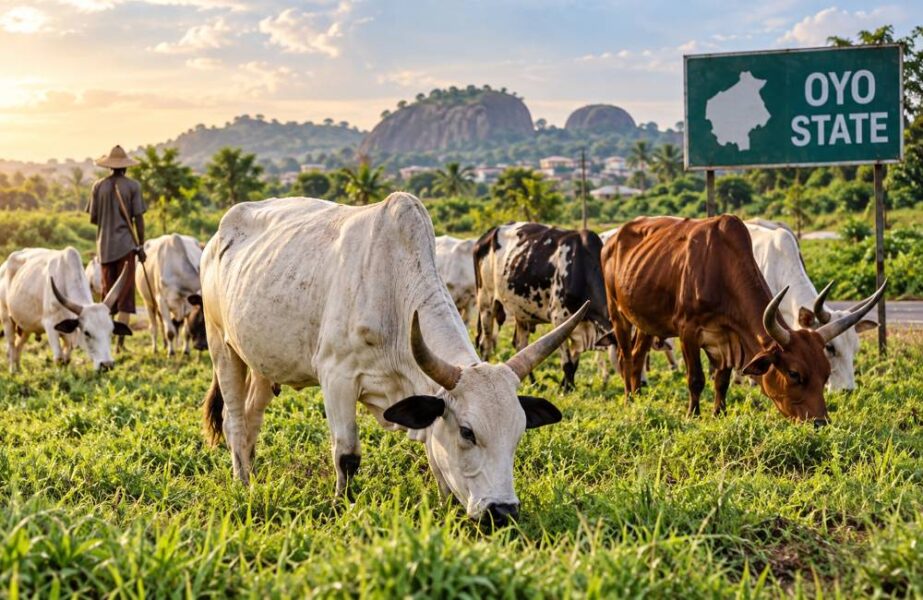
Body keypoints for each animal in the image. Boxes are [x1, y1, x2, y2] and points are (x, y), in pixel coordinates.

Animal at [0, 247, 132, 373]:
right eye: (87, 333)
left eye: (111, 331)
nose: (107, 365)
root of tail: (4, 265)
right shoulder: (50, 326)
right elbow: (59, 358)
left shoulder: (67, 333)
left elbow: (66, 359)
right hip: (7, 318)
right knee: (11, 346)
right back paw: (13, 371)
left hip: (25, 327)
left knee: (18, 346)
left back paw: (19, 369)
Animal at [200, 193, 583, 524]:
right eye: (467, 432)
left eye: (518, 432)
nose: (503, 511)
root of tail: (218, 236)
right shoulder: (337, 377)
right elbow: (347, 454)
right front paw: (341, 504)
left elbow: (434, 455)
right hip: (222, 346)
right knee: (235, 421)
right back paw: (243, 483)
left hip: (263, 363)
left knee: (252, 419)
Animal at [474, 223, 611, 390]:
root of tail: (488, 233)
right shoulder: (559, 319)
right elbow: (568, 364)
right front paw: (567, 390)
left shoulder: (579, 324)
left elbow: (574, 363)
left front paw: (566, 386)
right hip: (486, 304)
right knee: (485, 343)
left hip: (520, 312)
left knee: (520, 345)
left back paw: (533, 382)